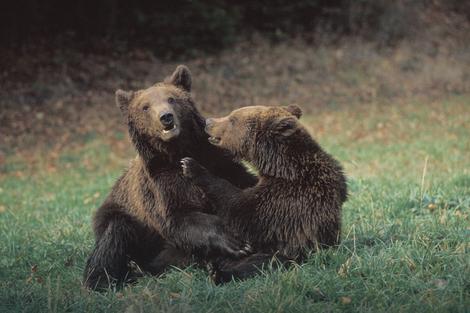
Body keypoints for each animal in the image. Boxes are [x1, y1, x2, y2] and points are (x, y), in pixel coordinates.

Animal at [82, 66, 255, 290]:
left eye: (171, 98)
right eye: (145, 107)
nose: (166, 117)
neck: (177, 152)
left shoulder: (217, 161)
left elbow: (243, 185)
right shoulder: (161, 186)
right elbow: (179, 219)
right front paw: (236, 242)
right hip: (121, 219)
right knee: (113, 238)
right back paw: (104, 280)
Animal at [182, 103, 346, 282]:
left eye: (232, 119)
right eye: (231, 115)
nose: (208, 122)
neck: (279, 165)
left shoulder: (288, 198)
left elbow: (243, 210)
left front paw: (191, 166)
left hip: (292, 252)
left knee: (263, 262)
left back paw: (218, 272)